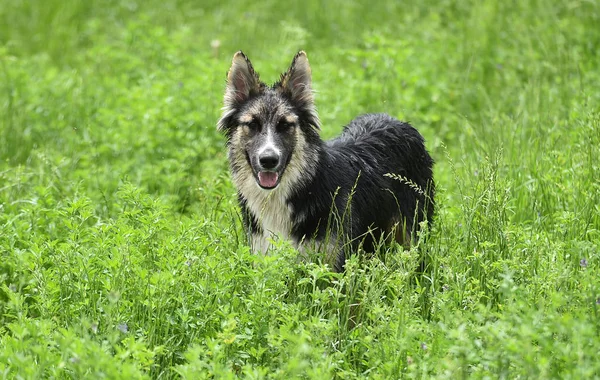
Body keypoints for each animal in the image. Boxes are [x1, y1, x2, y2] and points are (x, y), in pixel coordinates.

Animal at [218, 50, 434, 272]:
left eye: (285, 125)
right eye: (252, 124)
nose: (268, 160)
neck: (302, 186)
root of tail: (399, 122)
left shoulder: (335, 262)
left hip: (411, 232)